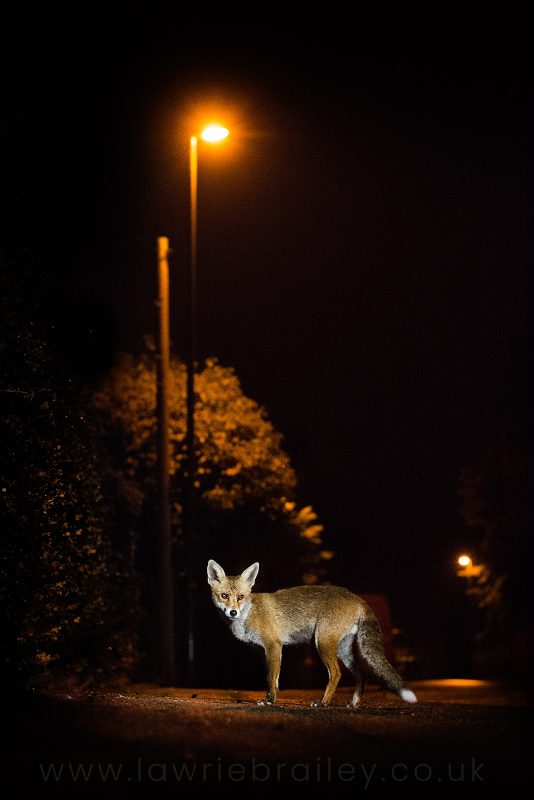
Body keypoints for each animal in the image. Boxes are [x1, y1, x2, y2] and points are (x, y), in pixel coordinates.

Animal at [207, 560, 420, 708]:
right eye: (224, 596)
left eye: (240, 597)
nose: (233, 612)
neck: (249, 612)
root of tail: (356, 597)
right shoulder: (262, 650)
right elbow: (272, 677)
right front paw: (272, 696)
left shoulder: (273, 645)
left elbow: (270, 677)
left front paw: (269, 701)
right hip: (343, 650)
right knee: (361, 674)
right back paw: (354, 704)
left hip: (323, 643)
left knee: (336, 673)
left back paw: (323, 703)